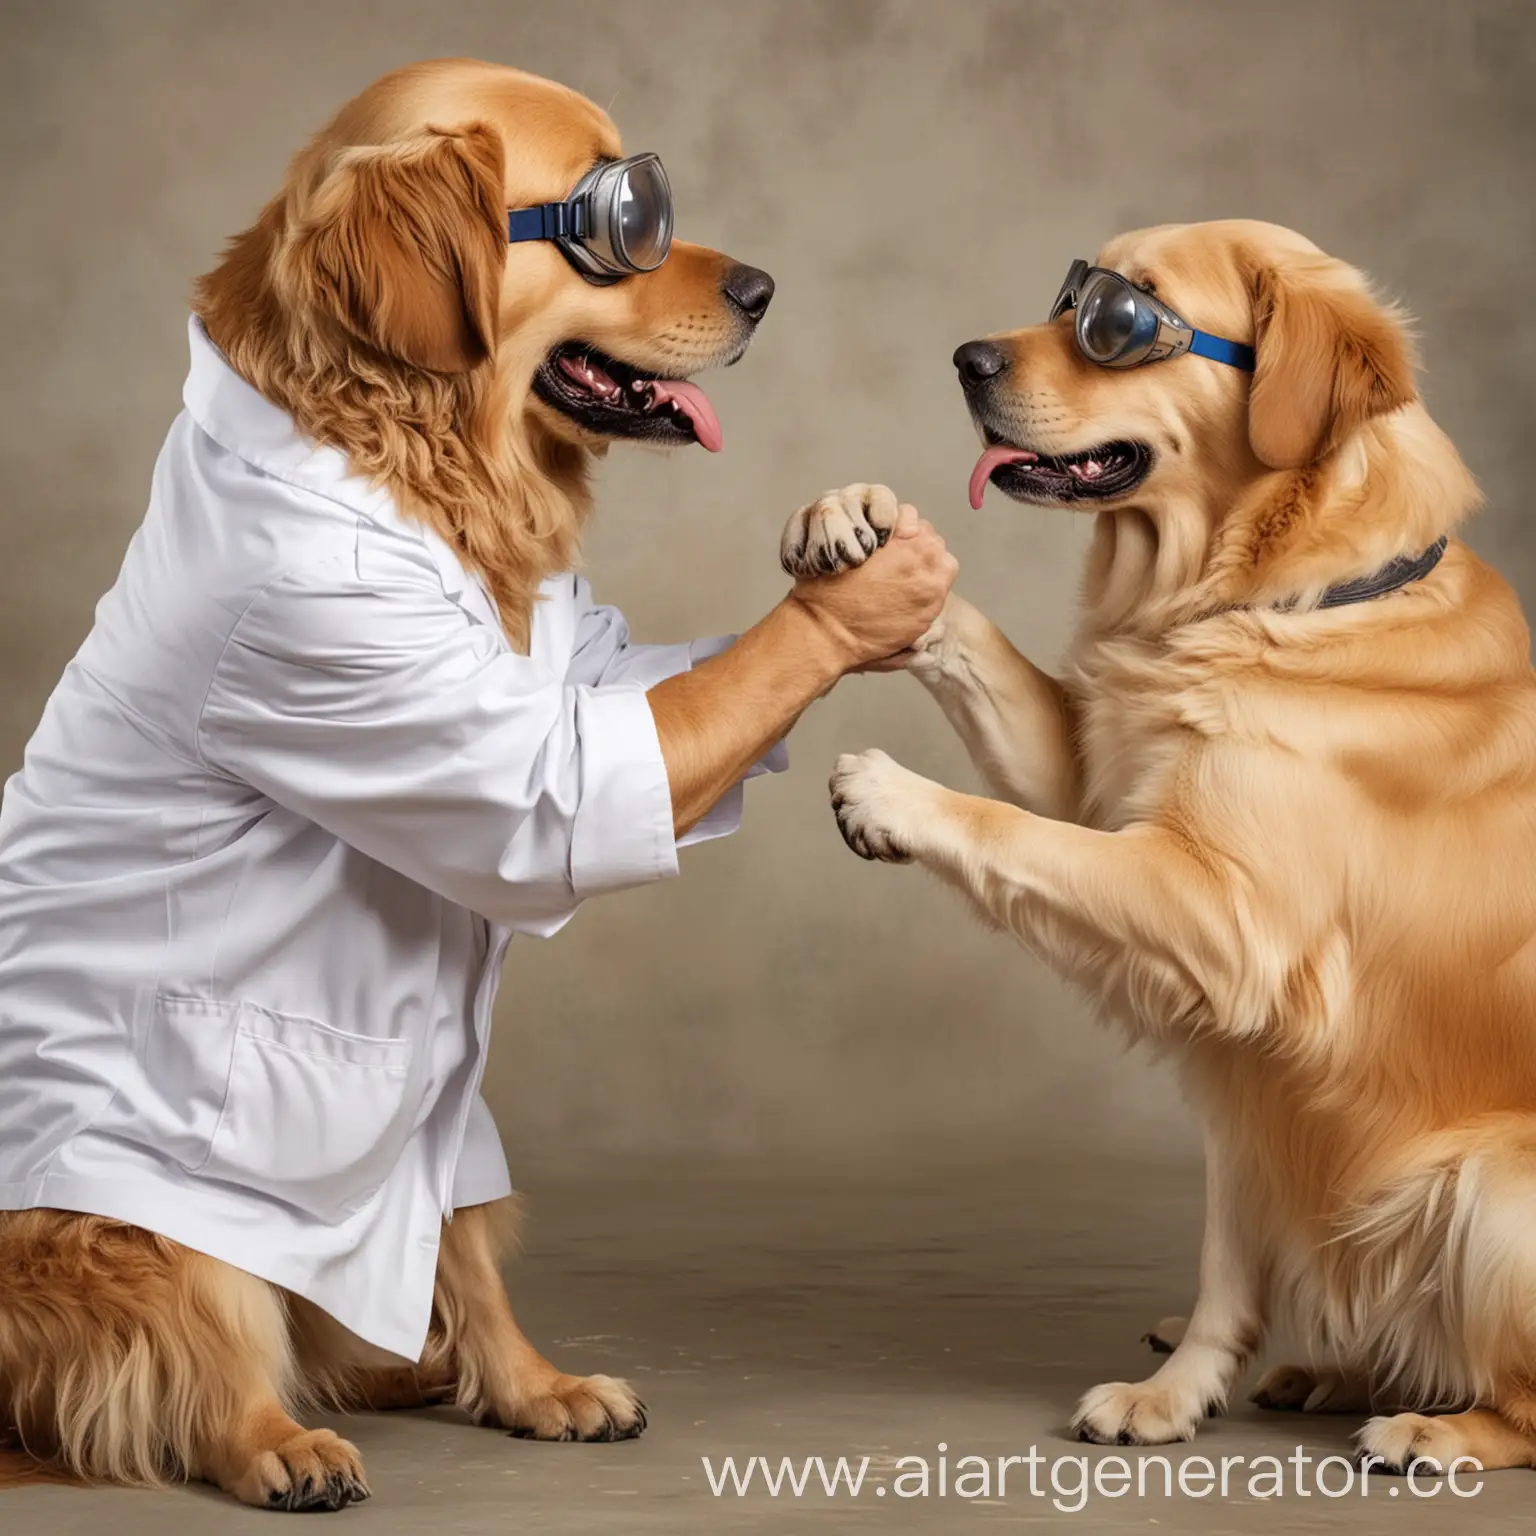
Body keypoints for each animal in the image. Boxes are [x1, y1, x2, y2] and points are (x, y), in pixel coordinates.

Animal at [0, 56, 774, 1499]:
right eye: (622, 219)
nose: (761, 288)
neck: (405, 443)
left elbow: (459, 1234)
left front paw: (530, 1387)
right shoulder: (363, 671)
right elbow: (564, 802)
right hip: (126, 1204)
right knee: (189, 1312)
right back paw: (271, 1436)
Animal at [798, 216, 1536, 1474]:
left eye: (1125, 323)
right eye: (1075, 292)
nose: (966, 361)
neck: (1272, 596)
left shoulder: (1226, 919)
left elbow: (1013, 830)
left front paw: (892, 795)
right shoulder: (1127, 828)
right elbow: (1225, 1275)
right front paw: (862, 517)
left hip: (1487, 1192)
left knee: (1518, 1391)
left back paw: (1436, 1427)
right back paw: (1324, 1370)